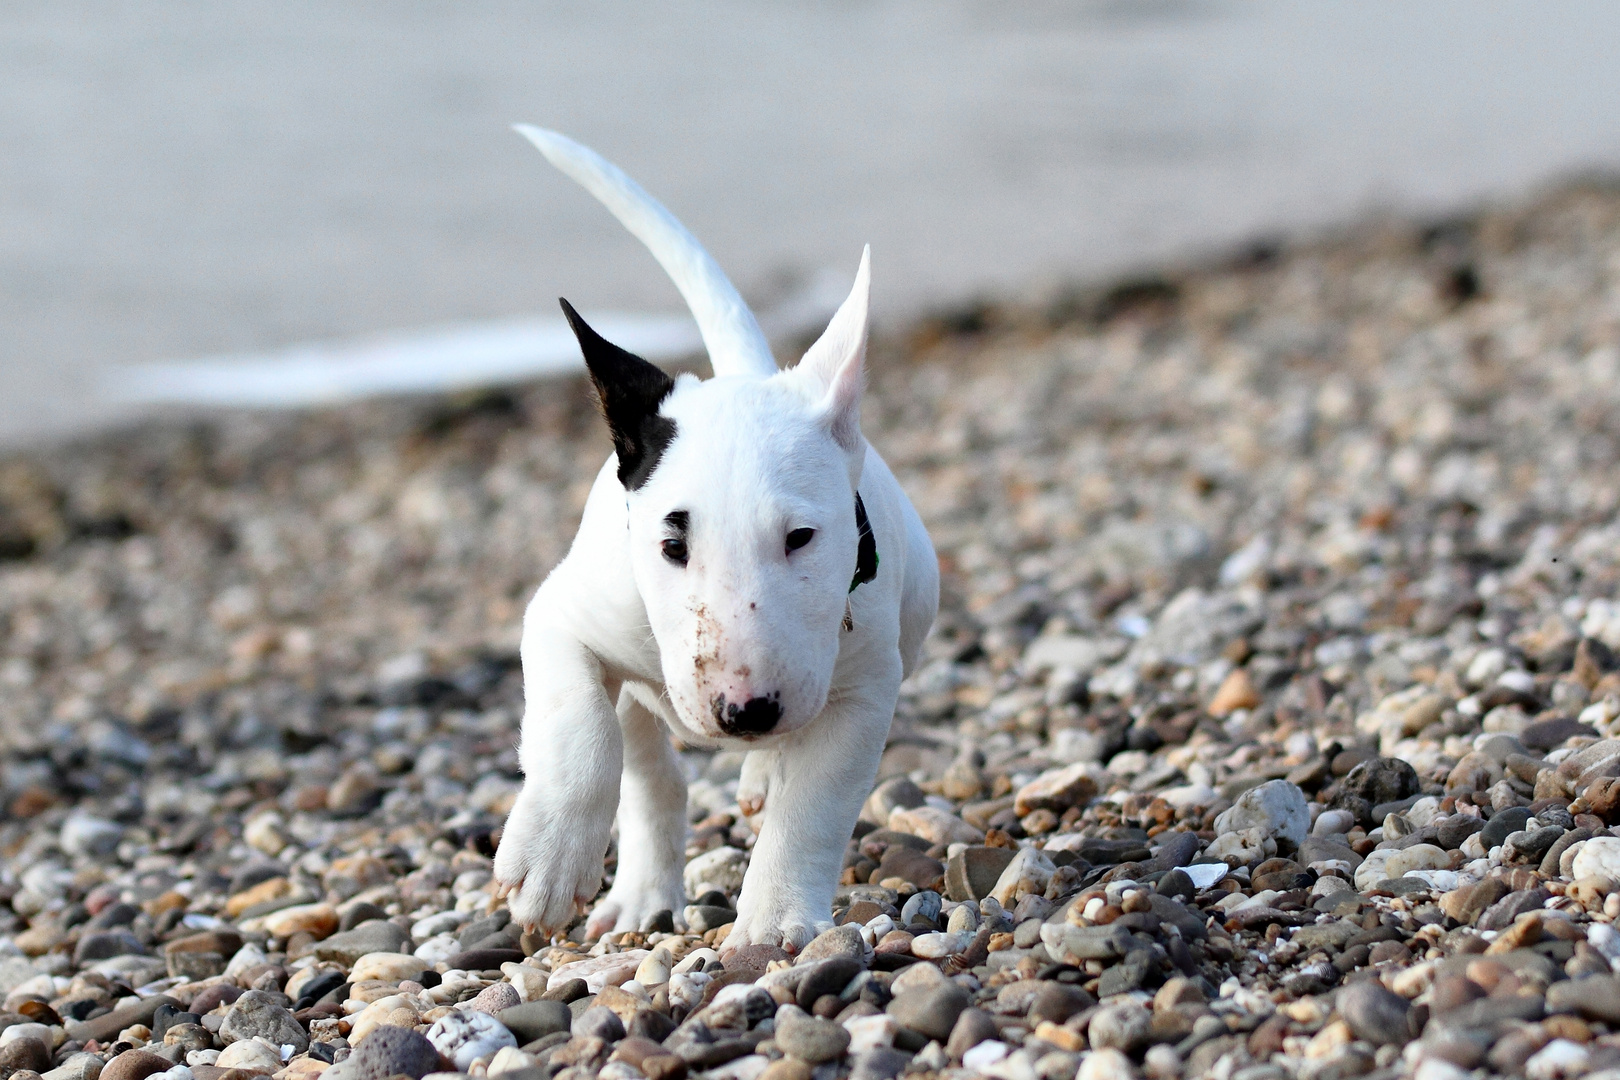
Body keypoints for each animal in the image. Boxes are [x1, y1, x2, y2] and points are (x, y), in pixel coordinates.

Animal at [495, 128, 946, 952]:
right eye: (673, 546)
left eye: (802, 537)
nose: (746, 714)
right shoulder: (560, 617)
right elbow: (582, 724)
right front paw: (550, 857)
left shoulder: (866, 689)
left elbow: (813, 805)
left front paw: (774, 924)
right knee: (646, 759)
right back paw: (641, 892)